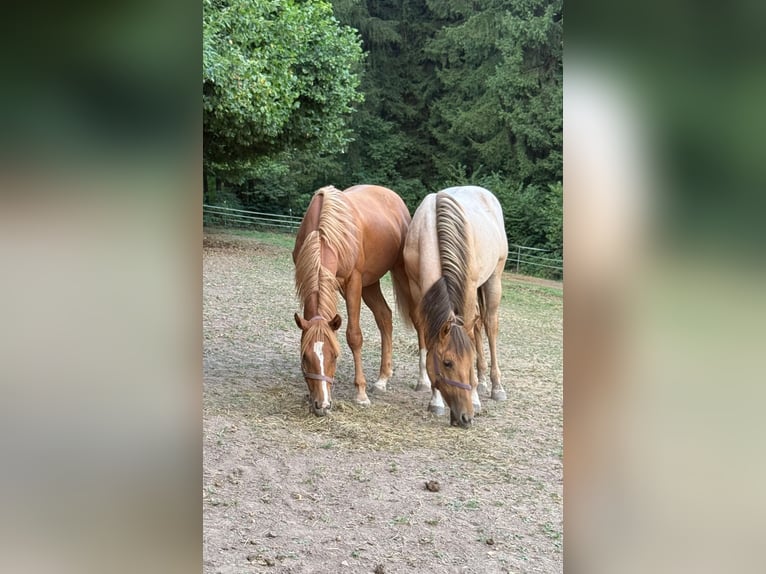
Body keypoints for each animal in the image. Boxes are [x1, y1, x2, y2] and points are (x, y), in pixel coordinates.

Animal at [293, 185, 411, 416]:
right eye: (305, 358)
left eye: (334, 356)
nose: (322, 404)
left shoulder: (353, 282)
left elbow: (354, 336)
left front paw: (361, 393)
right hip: (370, 284)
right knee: (384, 316)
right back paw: (383, 378)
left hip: (399, 275)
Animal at [391, 186, 508, 427]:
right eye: (447, 363)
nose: (465, 417)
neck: (431, 231)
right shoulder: (418, 290)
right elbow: (427, 335)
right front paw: (434, 399)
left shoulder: (468, 290)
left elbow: (471, 335)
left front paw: (474, 396)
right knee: (479, 326)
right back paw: (483, 381)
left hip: (493, 280)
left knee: (489, 326)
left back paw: (496, 387)